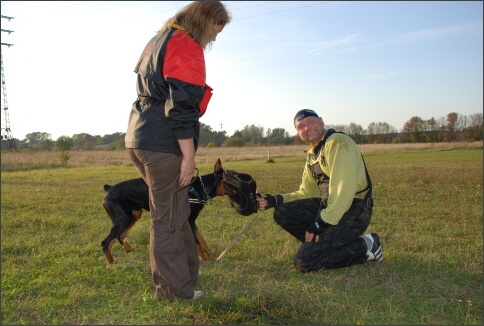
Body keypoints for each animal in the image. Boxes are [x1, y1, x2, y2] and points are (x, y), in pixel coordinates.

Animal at [100, 159, 234, 264]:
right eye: (231, 179)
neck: (198, 188)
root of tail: (108, 189)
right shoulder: (188, 220)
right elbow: (197, 241)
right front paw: (204, 258)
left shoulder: (192, 221)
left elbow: (201, 239)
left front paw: (211, 254)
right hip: (123, 219)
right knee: (105, 243)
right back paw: (112, 263)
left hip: (134, 215)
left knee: (120, 236)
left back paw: (130, 250)